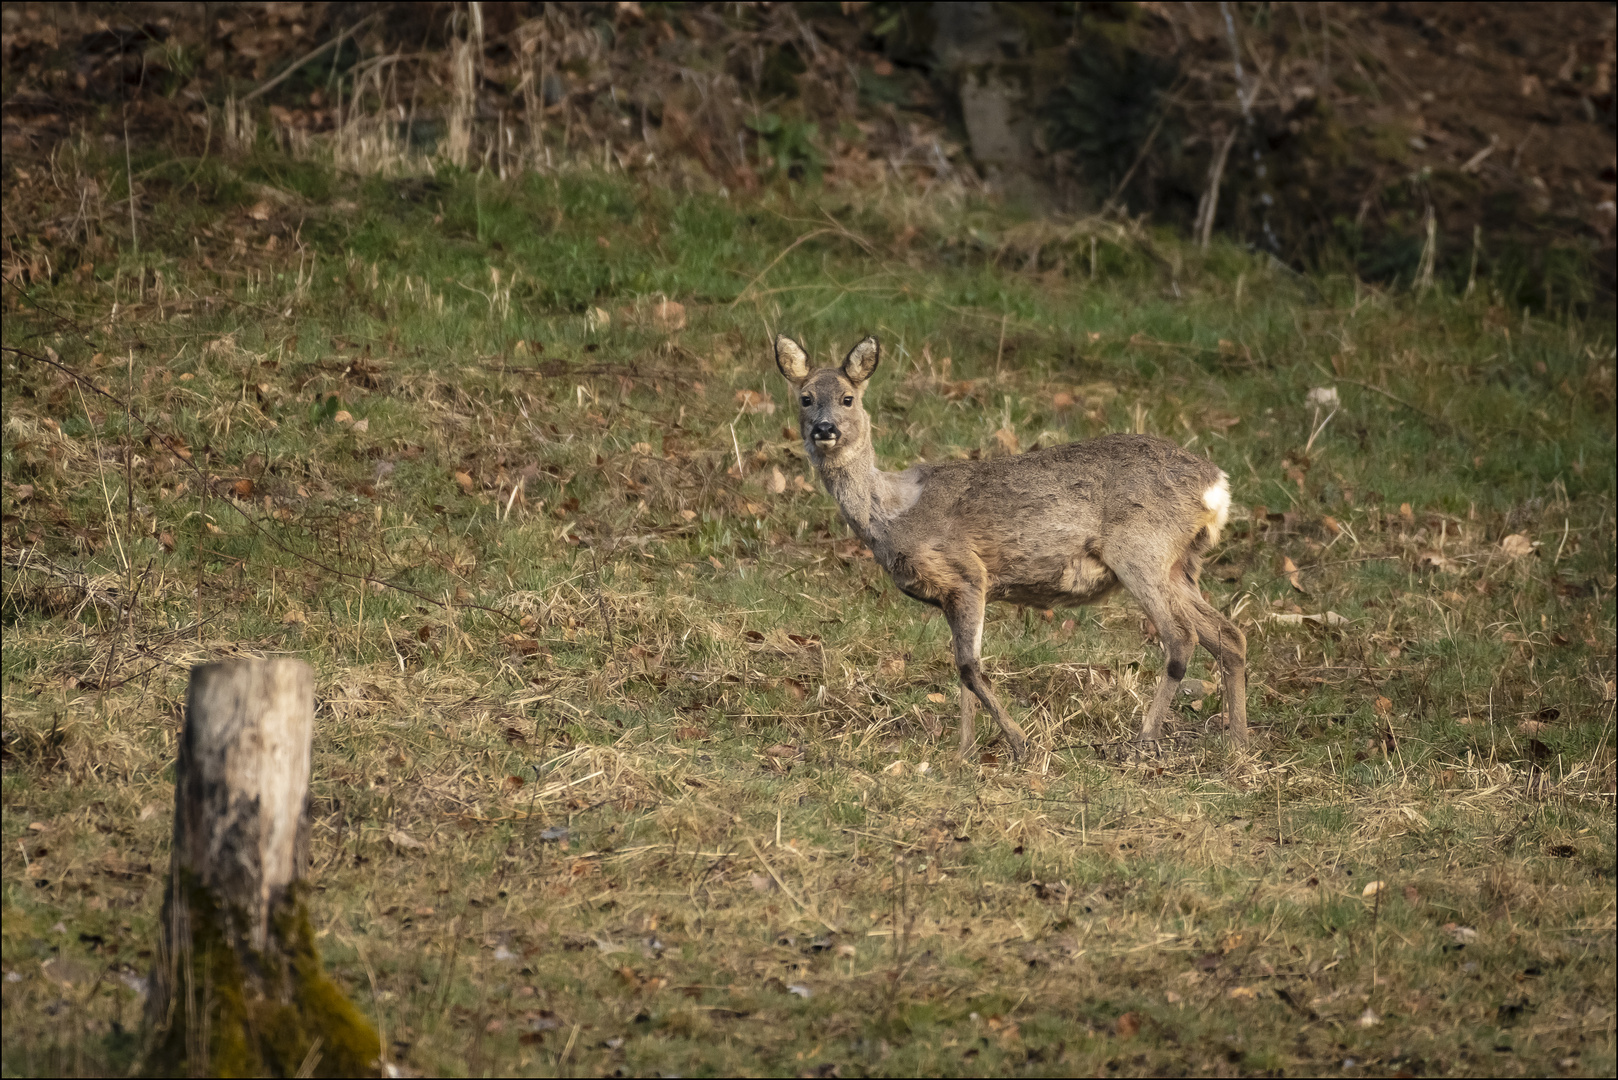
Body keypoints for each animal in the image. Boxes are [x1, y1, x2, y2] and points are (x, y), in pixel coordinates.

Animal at [776, 333, 1242, 764]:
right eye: (805, 398)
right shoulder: (948, 594)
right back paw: (1236, 742)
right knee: (1229, 635)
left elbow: (969, 667)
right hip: (1181, 564)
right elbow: (960, 670)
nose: (824, 429)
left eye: (848, 398)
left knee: (1181, 638)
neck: (893, 512)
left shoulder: (967, 573)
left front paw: (1020, 743)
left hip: (1142, 550)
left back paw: (1143, 743)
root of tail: (1217, 485)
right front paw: (963, 753)